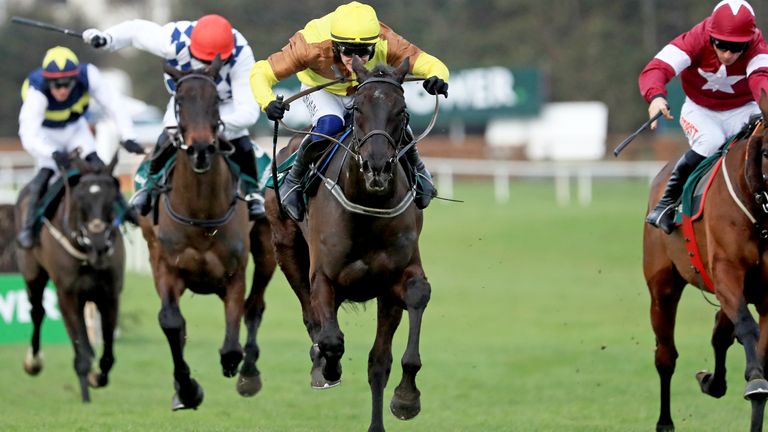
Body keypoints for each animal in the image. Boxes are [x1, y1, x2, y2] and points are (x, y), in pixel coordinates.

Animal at [15, 152, 124, 402]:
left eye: (112, 197)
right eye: (80, 199)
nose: (99, 244)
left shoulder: (110, 295)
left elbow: (107, 355)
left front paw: (97, 376)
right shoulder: (68, 295)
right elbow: (82, 351)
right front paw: (86, 392)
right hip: (33, 275)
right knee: (37, 312)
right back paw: (33, 361)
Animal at [138, 59, 276, 410]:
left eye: (215, 101)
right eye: (179, 101)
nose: (201, 148)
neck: (201, 213)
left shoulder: (234, 272)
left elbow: (233, 337)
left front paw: (234, 365)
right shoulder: (166, 266)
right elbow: (172, 322)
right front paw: (187, 388)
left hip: (267, 248)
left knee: (255, 306)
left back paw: (249, 373)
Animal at [268, 58, 428, 432]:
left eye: (403, 111)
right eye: (357, 111)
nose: (377, 167)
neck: (367, 207)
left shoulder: (393, 282)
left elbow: (383, 358)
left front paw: (406, 398)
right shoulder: (324, 278)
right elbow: (330, 339)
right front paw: (327, 368)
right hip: (287, 251)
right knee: (311, 318)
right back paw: (320, 365)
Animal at [644, 95, 768, 432]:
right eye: (766, 152)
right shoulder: (726, 271)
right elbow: (747, 330)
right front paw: (754, 382)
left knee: (719, 333)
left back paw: (712, 381)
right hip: (663, 288)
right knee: (665, 355)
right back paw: (665, 422)